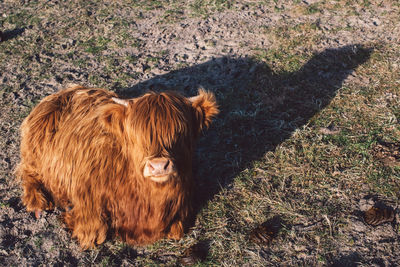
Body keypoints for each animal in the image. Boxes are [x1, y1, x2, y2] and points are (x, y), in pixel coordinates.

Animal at [16, 85, 219, 249]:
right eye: (137, 136)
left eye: (180, 133)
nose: (159, 166)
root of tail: (64, 92)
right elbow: (92, 232)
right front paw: (68, 217)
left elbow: (177, 231)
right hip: (33, 151)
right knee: (27, 172)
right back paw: (37, 201)